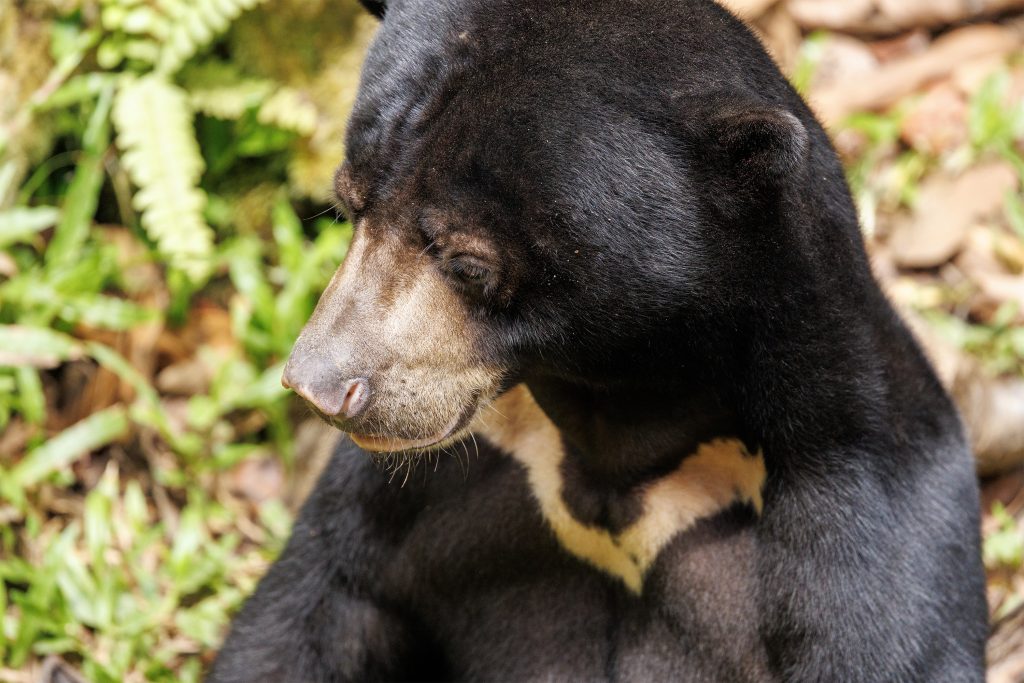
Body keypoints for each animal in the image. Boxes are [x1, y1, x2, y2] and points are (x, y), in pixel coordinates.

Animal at [208, 0, 988, 680]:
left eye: (468, 262)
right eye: (347, 205)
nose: (318, 385)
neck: (617, 414)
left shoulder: (857, 508)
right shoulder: (432, 482)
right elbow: (313, 607)